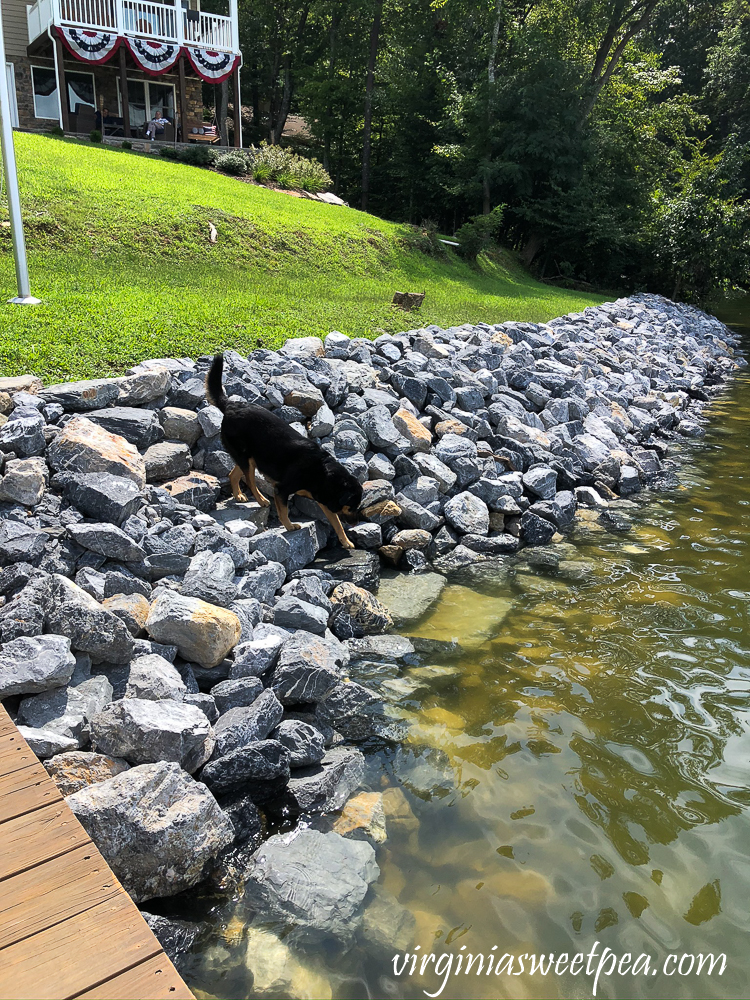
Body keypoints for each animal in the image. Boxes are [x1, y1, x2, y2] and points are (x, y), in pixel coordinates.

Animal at [203, 356, 362, 552]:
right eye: (352, 507)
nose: (356, 523)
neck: (323, 473)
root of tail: (231, 405)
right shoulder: (282, 490)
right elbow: (284, 511)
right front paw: (289, 526)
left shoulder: (324, 500)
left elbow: (337, 522)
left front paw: (345, 541)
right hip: (247, 458)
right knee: (249, 480)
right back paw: (261, 500)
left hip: (250, 458)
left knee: (233, 474)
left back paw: (239, 495)